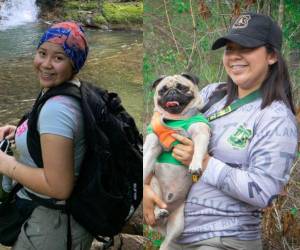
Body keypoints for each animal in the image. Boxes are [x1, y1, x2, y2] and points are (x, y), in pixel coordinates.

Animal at [144, 72, 210, 248]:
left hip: (178, 224)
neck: (176, 119)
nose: (172, 92)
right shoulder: (152, 143)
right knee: (156, 207)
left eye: (182, 87)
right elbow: (145, 163)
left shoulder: (200, 132)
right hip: (155, 188)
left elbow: (198, 150)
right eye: (163, 90)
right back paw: (159, 212)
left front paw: (195, 165)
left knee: (167, 242)